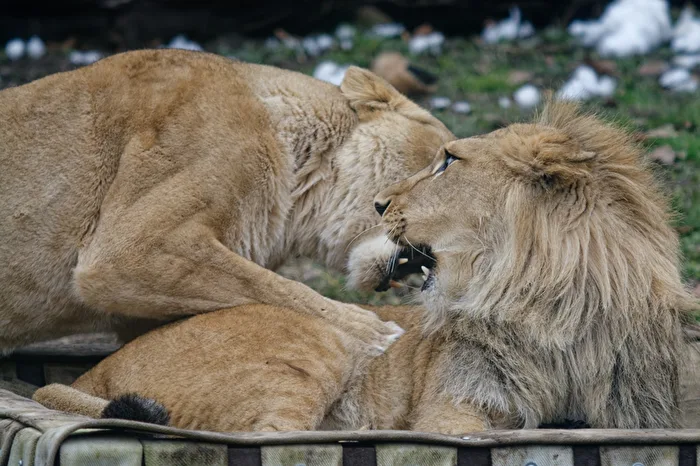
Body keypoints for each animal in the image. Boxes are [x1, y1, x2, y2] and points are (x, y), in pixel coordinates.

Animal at [34, 99, 693, 432]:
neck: (550, 310)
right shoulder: (452, 409)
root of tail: (98, 370)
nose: (379, 204)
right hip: (316, 344)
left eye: (448, 161)